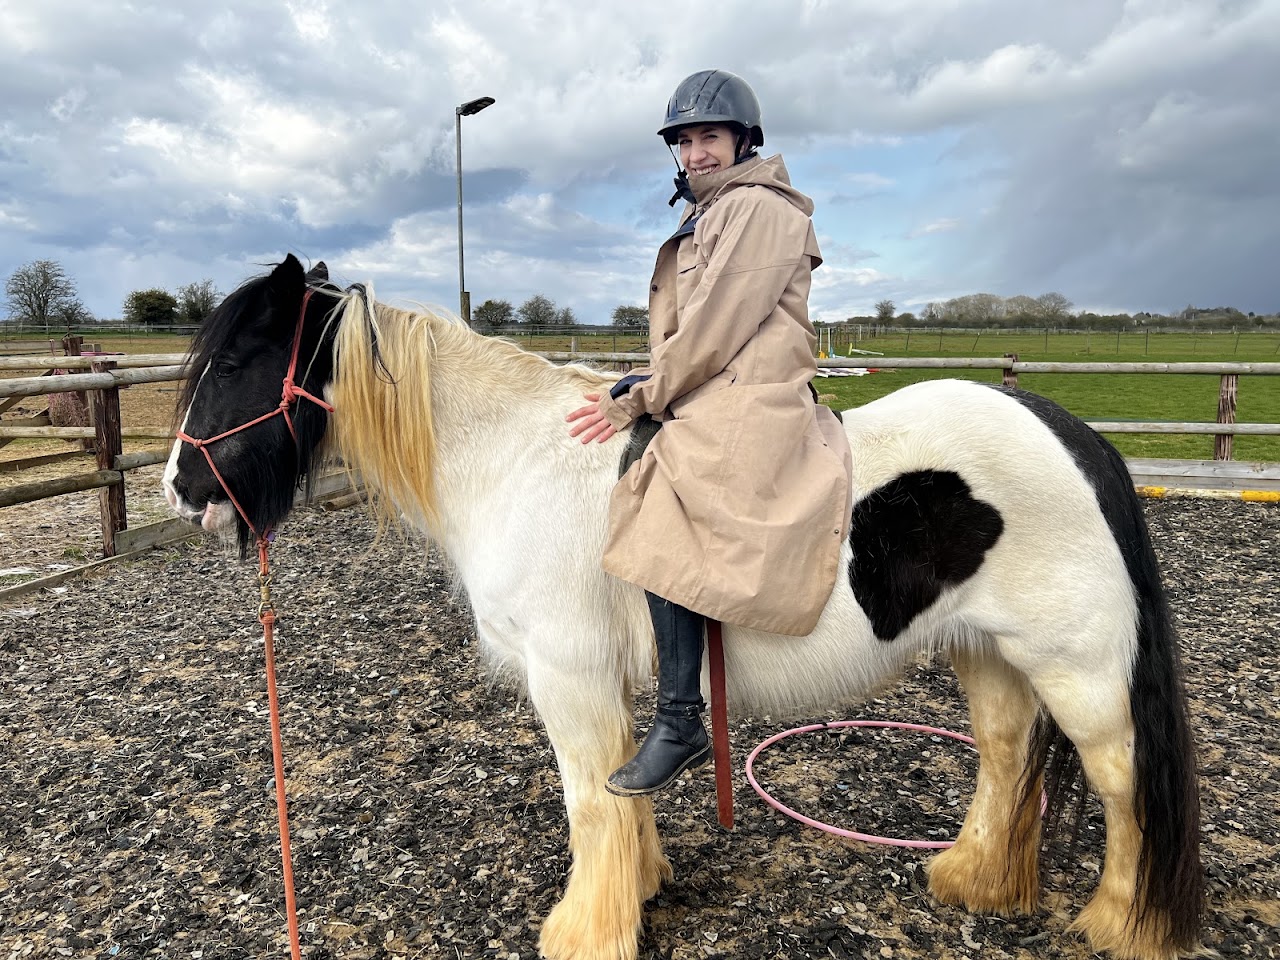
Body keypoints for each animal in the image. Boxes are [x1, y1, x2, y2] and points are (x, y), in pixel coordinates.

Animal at [163, 254, 1203, 960]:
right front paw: (642, 889)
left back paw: (1122, 923)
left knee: (1121, 783)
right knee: (1006, 755)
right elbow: (626, 791)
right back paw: (974, 879)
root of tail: (1076, 435)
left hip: (1078, 670)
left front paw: (585, 930)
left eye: (235, 363)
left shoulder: (568, 678)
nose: (181, 487)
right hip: (987, 652)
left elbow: (590, 801)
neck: (517, 458)